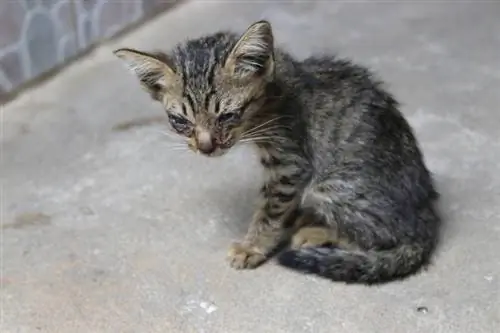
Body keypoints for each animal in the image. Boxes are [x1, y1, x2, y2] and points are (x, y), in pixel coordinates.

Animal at [112, 20, 438, 282]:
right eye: (180, 121)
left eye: (227, 116)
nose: (206, 147)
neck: (274, 91)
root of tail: (426, 216)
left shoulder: (290, 164)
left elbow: (270, 211)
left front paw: (252, 246)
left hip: (331, 186)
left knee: (380, 237)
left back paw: (317, 232)